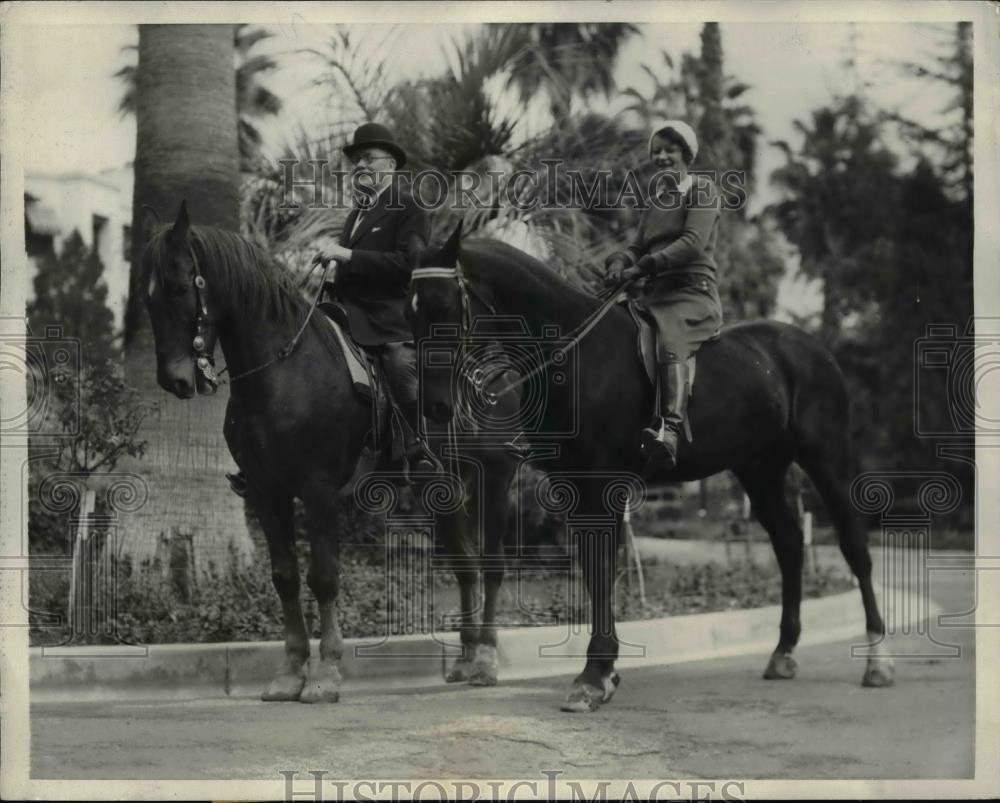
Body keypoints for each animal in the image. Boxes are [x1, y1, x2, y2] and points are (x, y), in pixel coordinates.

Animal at [145, 203, 520, 704]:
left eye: (181, 287)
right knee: (465, 564)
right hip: (442, 487)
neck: (283, 370)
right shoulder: (265, 491)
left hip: (496, 477)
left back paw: (486, 660)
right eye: (147, 300)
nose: (176, 381)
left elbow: (323, 577)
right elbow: (284, 577)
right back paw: (465, 657)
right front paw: (290, 673)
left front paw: (325, 674)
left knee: (493, 565)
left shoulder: (318, 489)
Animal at [410, 226, 896, 716]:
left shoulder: (601, 485)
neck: (576, 353)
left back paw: (877, 660)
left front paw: (594, 675)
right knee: (791, 545)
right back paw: (783, 653)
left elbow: (602, 570)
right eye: (412, 310)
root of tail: (810, 347)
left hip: (826, 458)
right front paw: (604, 673)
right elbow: (594, 571)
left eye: (443, 307)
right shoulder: (573, 486)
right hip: (760, 470)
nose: (434, 408)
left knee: (854, 547)